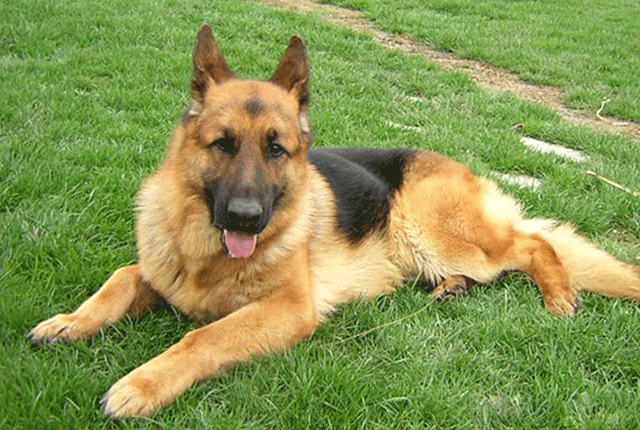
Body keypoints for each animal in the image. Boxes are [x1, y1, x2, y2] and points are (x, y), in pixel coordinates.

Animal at [29, 25, 640, 418]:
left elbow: (202, 336)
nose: (246, 218)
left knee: (534, 243)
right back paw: (452, 290)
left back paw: (558, 296)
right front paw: (69, 322)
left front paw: (141, 384)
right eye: (222, 144)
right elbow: (120, 279)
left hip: (435, 232)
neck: (204, 256)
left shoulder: (286, 309)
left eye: (276, 150)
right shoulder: (160, 272)